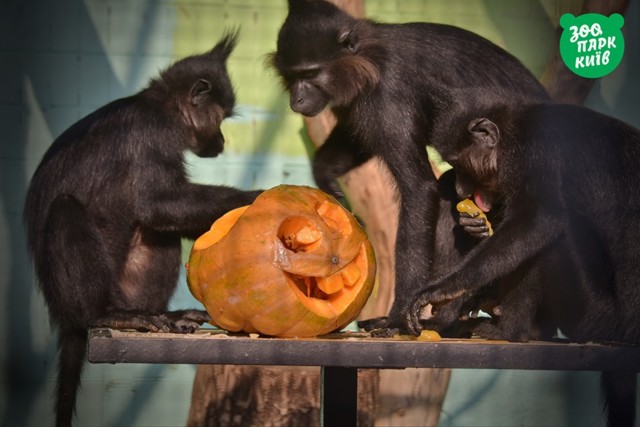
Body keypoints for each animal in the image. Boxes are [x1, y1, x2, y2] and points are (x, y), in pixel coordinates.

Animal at [23, 31, 262, 426]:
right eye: (220, 118)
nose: (223, 141)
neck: (160, 104)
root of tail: (64, 314)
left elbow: (159, 216)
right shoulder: (154, 132)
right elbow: (158, 205)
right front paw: (259, 198)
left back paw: (165, 316)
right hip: (82, 293)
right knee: (66, 209)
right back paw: (108, 314)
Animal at [268, 0, 552, 336]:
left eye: (311, 73)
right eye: (291, 75)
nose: (297, 99)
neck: (371, 57)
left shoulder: (388, 96)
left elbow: (419, 189)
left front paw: (397, 317)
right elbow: (357, 139)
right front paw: (327, 179)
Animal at [410, 104, 640, 427]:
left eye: (462, 165)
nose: (460, 187)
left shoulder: (531, 150)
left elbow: (539, 219)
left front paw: (445, 289)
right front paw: (474, 228)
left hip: (598, 319)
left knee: (551, 241)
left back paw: (511, 330)